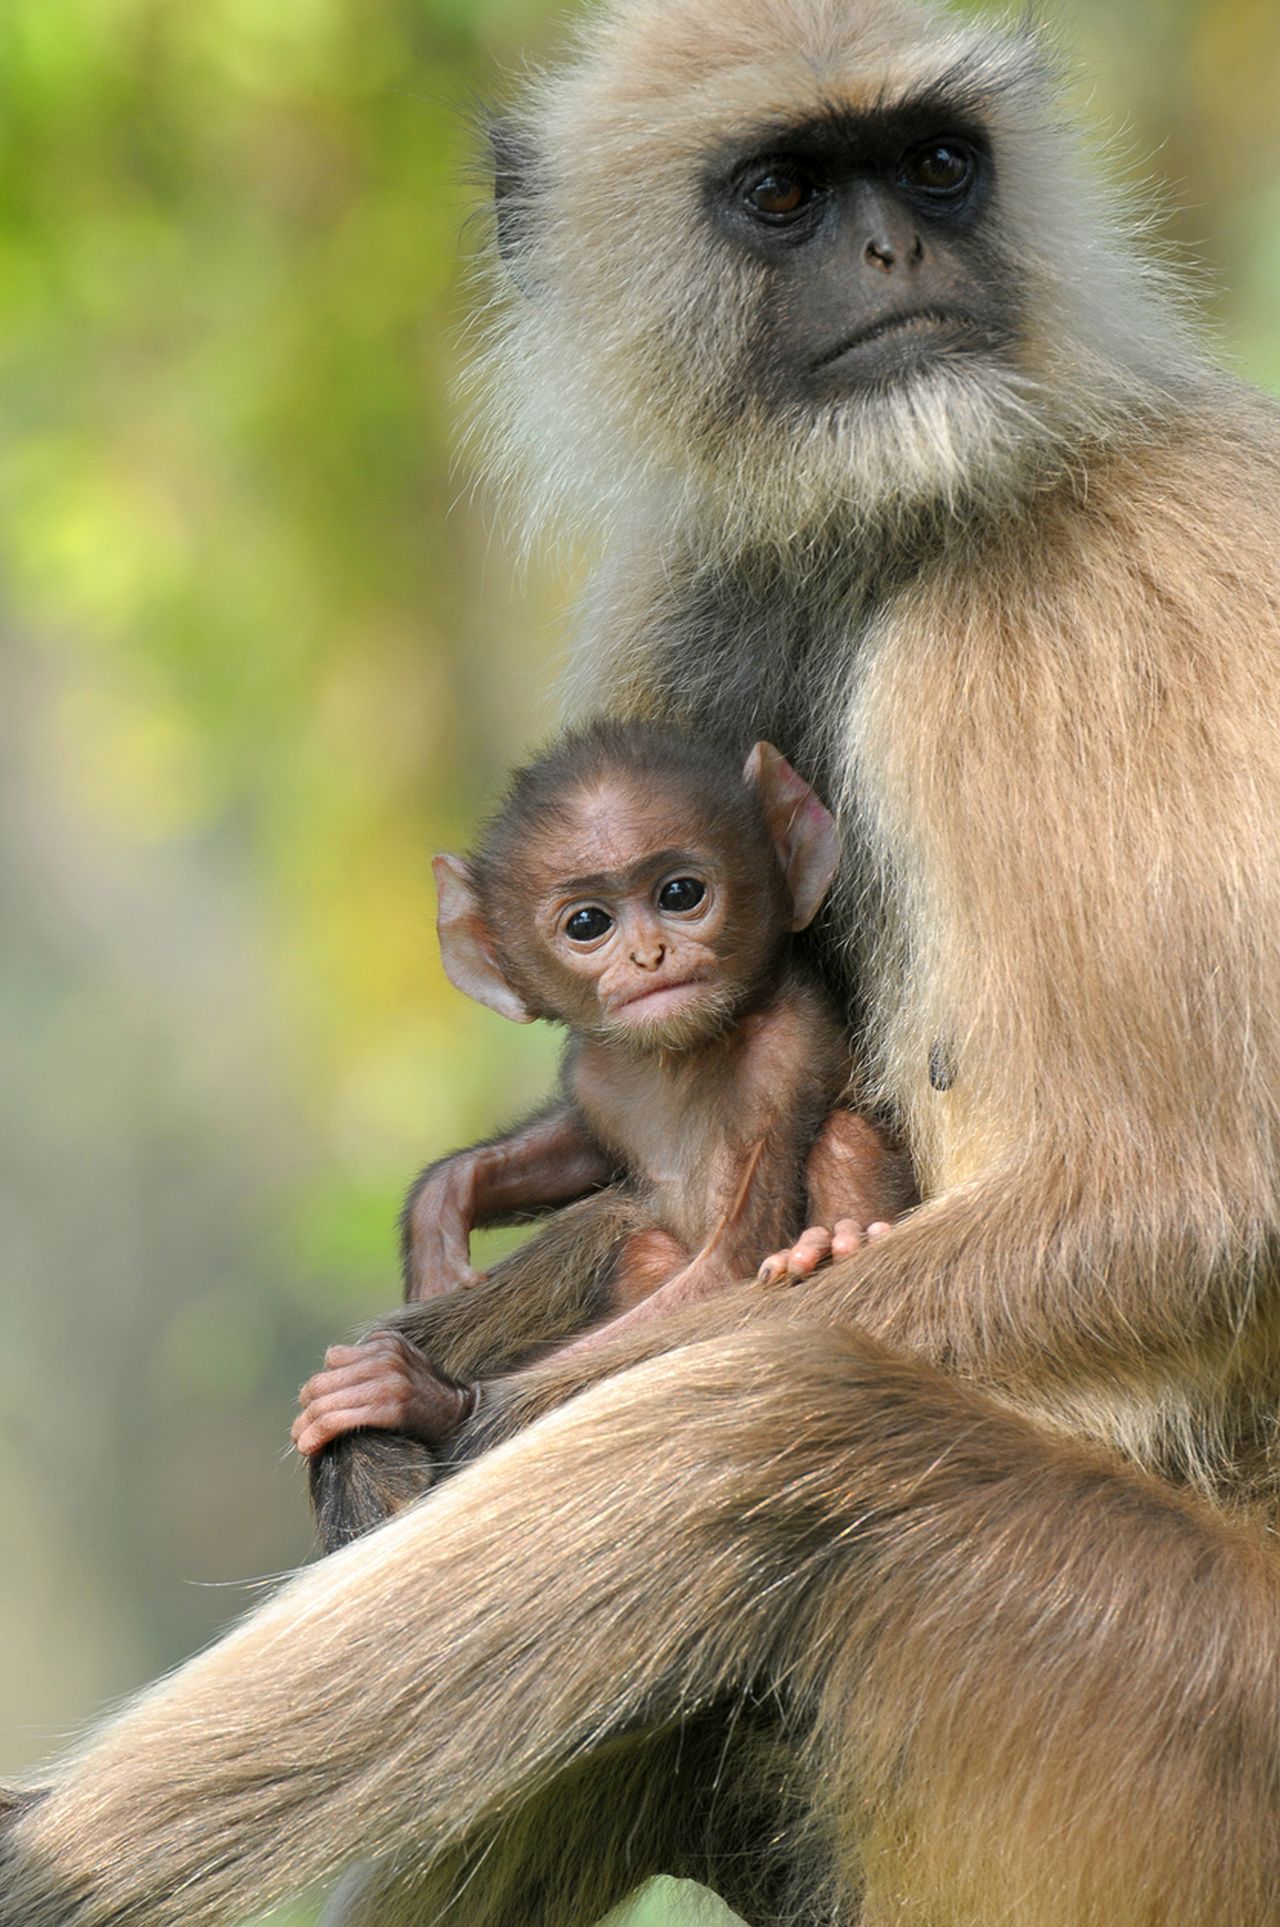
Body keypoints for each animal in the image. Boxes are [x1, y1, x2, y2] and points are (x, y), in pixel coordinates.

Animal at [293, 716, 909, 1541]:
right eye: (588, 923)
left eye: (681, 893)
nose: (650, 954)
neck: (683, 1058)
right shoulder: (596, 1069)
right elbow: (587, 1150)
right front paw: (441, 1214)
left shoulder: (789, 1052)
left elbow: (736, 1259)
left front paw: (432, 1398)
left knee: (843, 1135)